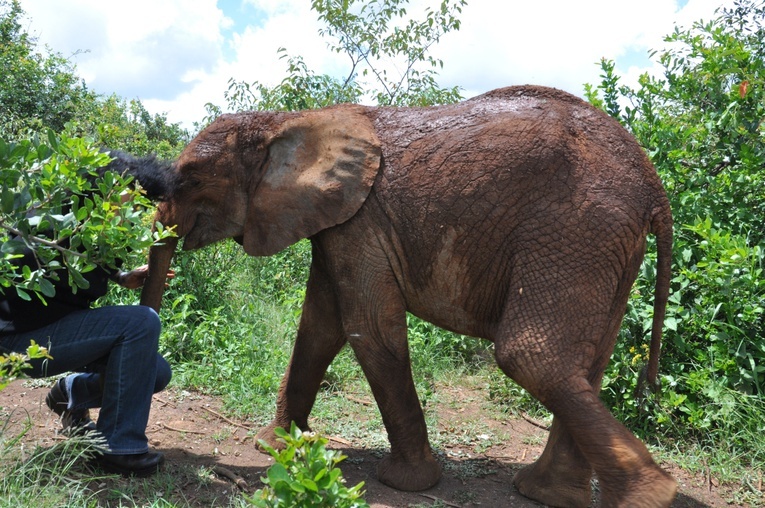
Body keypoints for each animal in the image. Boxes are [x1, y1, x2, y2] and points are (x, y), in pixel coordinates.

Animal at [137, 85, 676, 506]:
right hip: (607, 245)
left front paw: (407, 484)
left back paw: (652, 495)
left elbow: (368, 326)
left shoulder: (361, 221)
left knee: (531, 357)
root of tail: (654, 185)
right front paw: (276, 447)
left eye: (191, 178)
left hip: (576, 230)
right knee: (589, 364)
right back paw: (546, 493)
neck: (288, 121)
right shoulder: (337, 221)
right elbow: (319, 326)